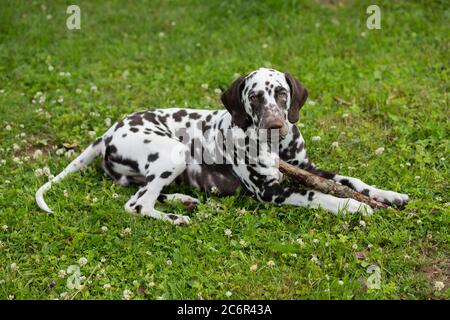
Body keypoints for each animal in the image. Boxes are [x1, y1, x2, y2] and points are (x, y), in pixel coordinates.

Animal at [34, 67, 408, 225]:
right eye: (254, 97)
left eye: (281, 93)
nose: (276, 125)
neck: (276, 147)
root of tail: (111, 129)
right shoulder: (271, 192)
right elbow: (320, 195)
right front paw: (352, 206)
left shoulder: (307, 168)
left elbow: (351, 180)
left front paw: (388, 194)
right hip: (174, 153)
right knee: (136, 205)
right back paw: (174, 217)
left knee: (144, 193)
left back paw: (182, 201)